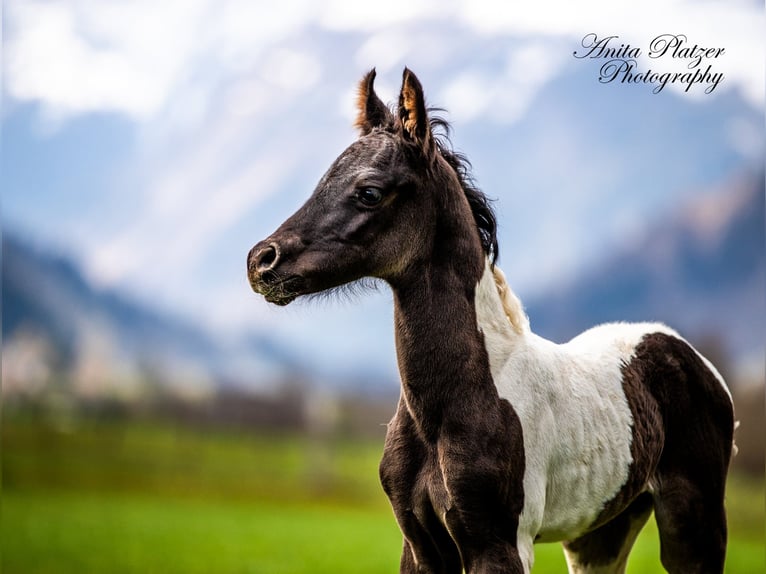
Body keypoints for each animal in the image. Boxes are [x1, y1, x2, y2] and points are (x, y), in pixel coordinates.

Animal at [247, 68, 736, 574]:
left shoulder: (500, 545)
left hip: (694, 527)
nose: (262, 260)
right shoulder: (419, 546)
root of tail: (684, 351)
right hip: (599, 535)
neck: (451, 405)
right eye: (322, 180)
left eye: (369, 192)